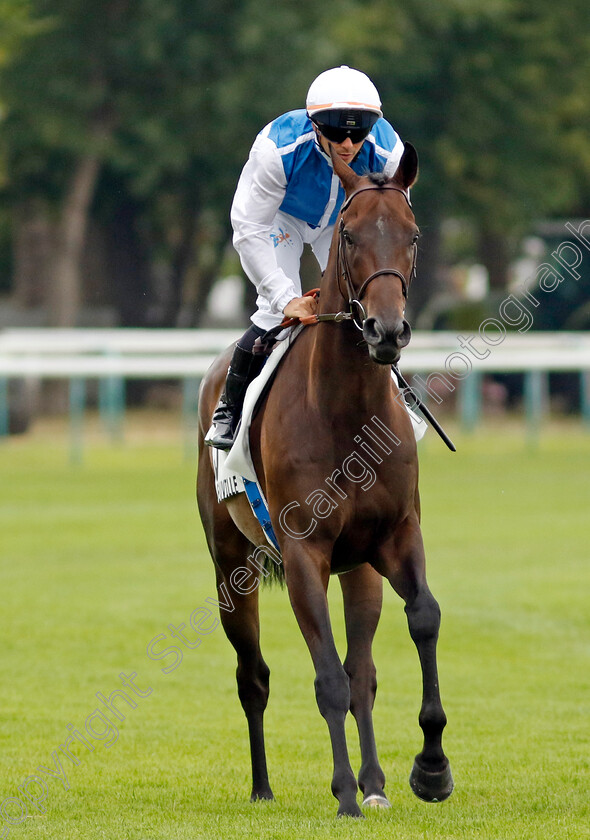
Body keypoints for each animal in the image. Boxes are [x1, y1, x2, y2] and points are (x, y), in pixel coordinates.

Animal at [197, 143, 456, 812]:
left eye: (413, 234)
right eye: (350, 232)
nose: (385, 331)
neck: (346, 411)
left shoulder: (396, 536)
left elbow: (423, 619)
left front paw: (430, 769)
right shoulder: (303, 553)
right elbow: (327, 677)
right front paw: (342, 793)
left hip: (358, 569)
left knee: (363, 671)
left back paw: (375, 784)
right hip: (230, 565)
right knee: (254, 677)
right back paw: (265, 789)